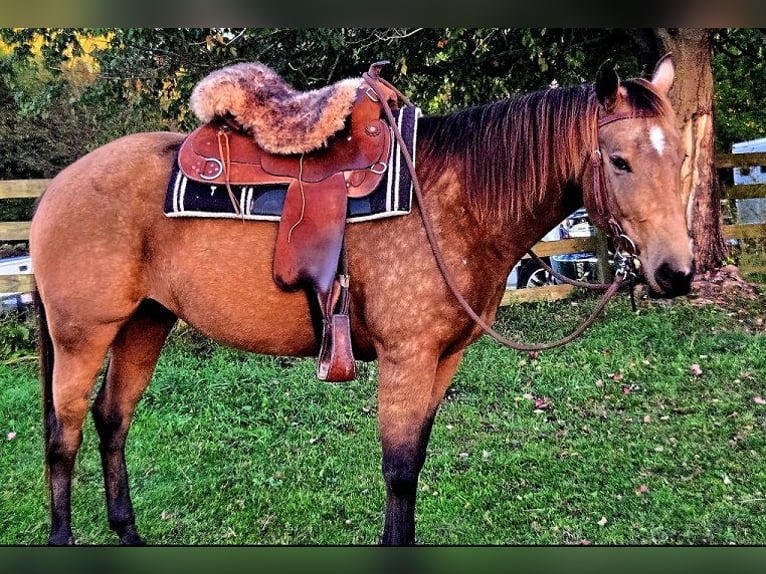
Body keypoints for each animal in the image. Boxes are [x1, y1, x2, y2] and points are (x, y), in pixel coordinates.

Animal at [30, 55, 694, 545]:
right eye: (619, 160)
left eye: (683, 157)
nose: (677, 272)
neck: (455, 202)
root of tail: (55, 189)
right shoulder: (407, 358)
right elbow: (398, 472)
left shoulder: (442, 359)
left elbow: (415, 461)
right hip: (81, 336)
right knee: (64, 435)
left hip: (145, 323)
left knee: (111, 420)